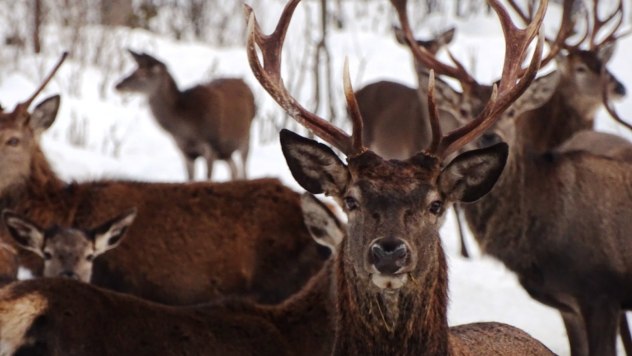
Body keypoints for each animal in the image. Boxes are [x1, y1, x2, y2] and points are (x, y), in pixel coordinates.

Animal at [115, 50, 256, 181]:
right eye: (134, 69)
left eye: (143, 73)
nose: (118, 85)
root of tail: (244, 82)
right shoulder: (185, 152)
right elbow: (190, 179)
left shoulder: (210, 147)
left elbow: (207, 178)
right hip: (225, 152)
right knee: (234, 170)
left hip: (246, 138)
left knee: (244, 169)